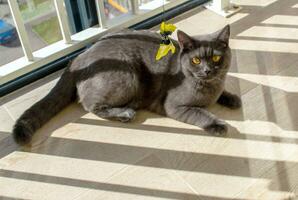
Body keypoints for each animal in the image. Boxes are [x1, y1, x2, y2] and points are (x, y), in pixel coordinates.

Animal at [12, 25, 242, 145]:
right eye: (195, 60)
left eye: (216, 59)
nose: (207, 70)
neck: (208, 87)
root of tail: (77, 59)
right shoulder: (175, 105)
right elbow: (200, 113)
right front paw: (219, 125)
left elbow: (223, 92)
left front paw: (232, 98)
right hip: (128, 76)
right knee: (90, 104)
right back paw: (125, 113)